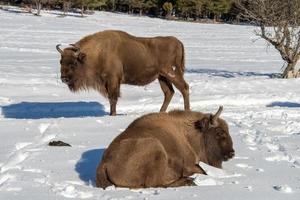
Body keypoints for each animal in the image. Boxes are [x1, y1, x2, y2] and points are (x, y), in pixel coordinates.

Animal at [55, 30, 190, 116]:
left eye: (74, 63)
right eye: (61, 61)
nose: (64, 78)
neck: (96, 54)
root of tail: (178, 42)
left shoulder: (113, 80)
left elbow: (113, 98)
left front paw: (112, 114)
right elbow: (111, 98)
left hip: (172, 73)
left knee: (184, 88)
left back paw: (187, 111)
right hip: (162, 77)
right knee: (169, 92)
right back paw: (160, 112)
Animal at [96, 106, 234, 189]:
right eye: (219, 133)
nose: (232, 153)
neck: (188, 133)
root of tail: (104, 163)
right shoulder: (190, 165)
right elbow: (203, 171)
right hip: (155, 146)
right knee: (154, 184)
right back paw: (188, 181)